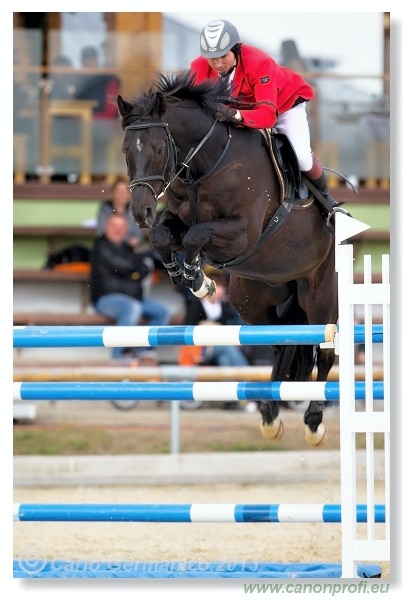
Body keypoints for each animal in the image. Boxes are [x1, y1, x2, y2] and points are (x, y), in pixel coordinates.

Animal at [118, 71, 340, 446]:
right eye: (125, 151)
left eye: (160, 149)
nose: (140, 212)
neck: (204, 166)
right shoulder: (176, 220)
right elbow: (165, 236)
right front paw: (188, 276)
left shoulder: (242, 234)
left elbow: (196, 236)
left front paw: (198, 279)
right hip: (253, 300)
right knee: (280, 345)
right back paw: (269, 414)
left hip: (320, 297)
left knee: (324, 350)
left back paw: (313, 423)